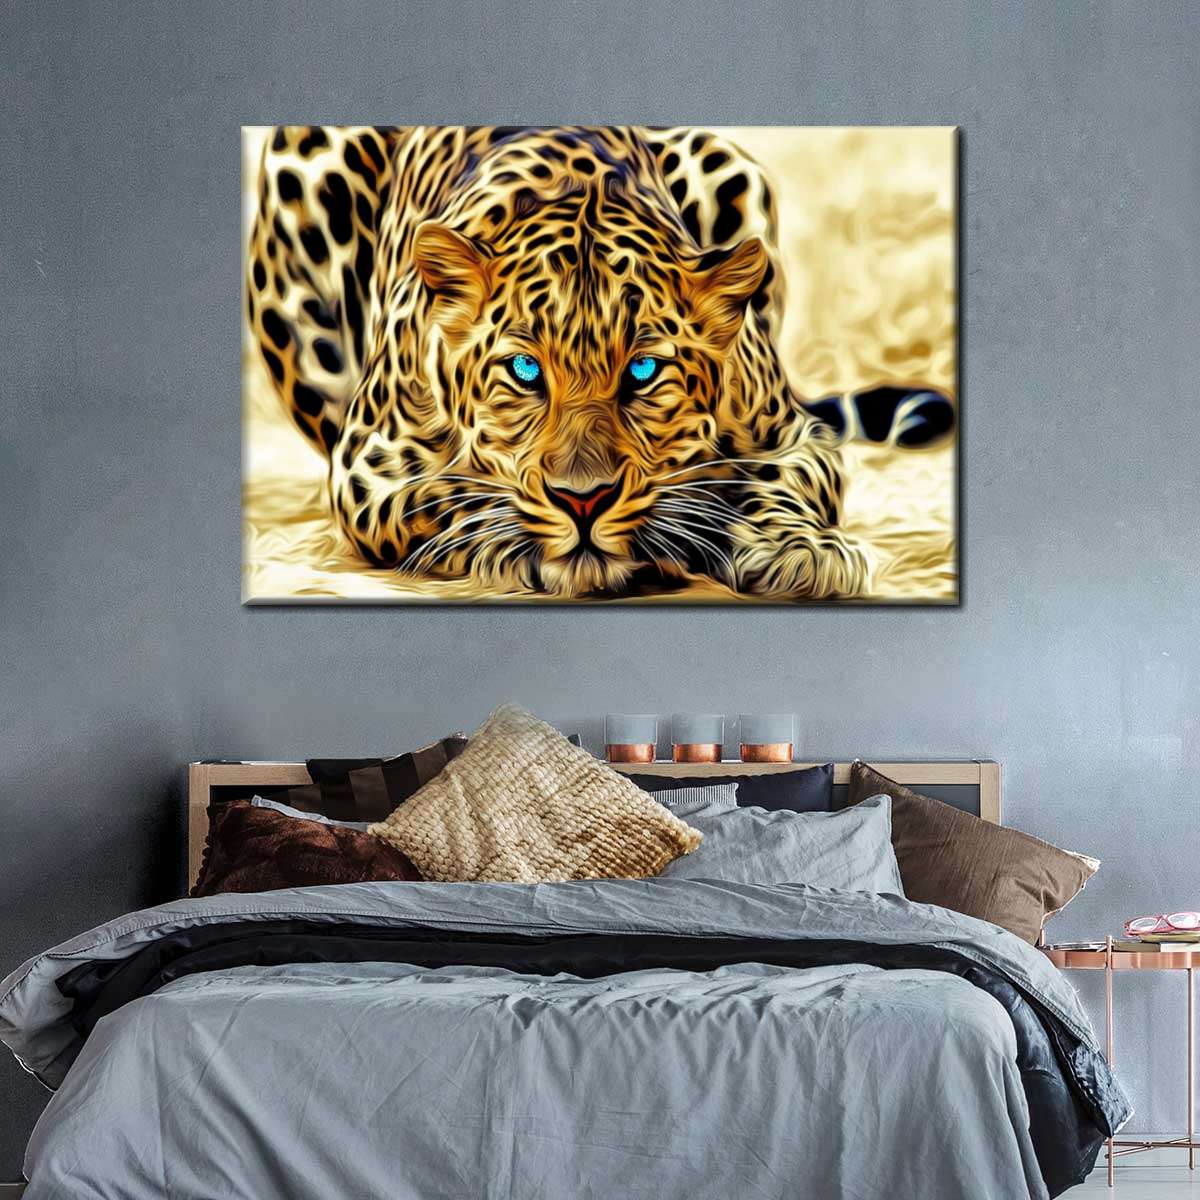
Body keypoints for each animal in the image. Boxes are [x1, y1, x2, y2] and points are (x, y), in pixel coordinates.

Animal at [246, 125, 951, 601]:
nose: (582, 502)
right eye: (525, 372)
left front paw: (800, 547)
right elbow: (448, 493)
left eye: (642, 372)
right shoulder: (368, 462)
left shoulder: (795, 435)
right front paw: (512, 541)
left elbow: (784, 480)